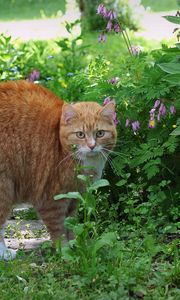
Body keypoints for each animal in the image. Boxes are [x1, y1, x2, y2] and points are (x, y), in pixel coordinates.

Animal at [0, 81, 116, 258]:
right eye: (80, 134)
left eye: (100, 133)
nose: (91, 146)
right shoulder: (51, 199)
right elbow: (58, 230)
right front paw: (66, 251)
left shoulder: (74, 197)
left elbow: (70, 225)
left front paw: (76, 245)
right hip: (5, 187)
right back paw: (4, 254)